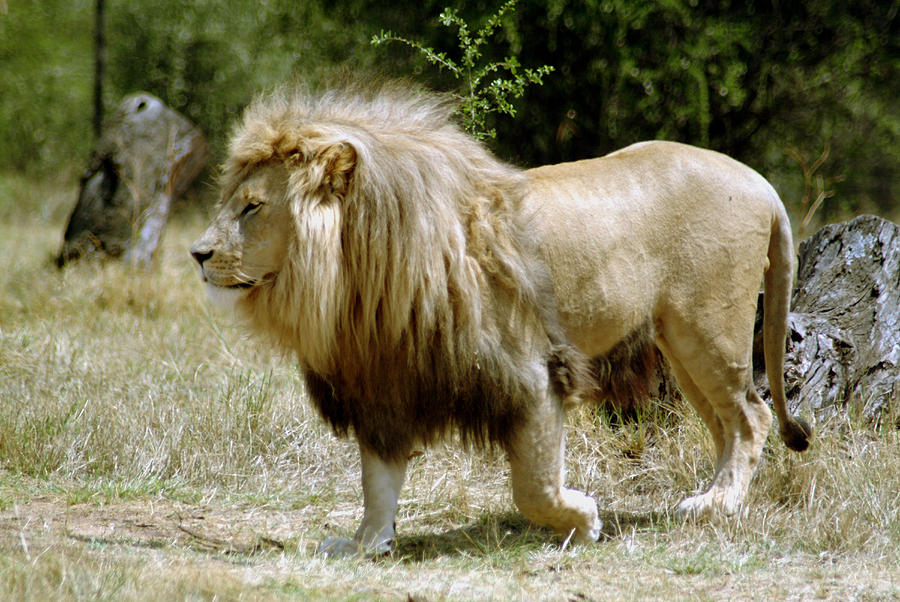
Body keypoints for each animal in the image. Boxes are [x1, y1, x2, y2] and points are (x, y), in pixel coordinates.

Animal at [190, 81, 808, 556]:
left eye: (252, 206)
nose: (196, 253)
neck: (358, 277)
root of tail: (759, 180)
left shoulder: (530, 373)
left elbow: (532, 487)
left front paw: (583, 520)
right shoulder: (383, 385)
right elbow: (377, 482)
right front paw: (367, 543)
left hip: (709, 329)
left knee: (752, 416)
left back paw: (718, 505)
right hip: (680, 344)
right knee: (727, 423)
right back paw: (714, 496)